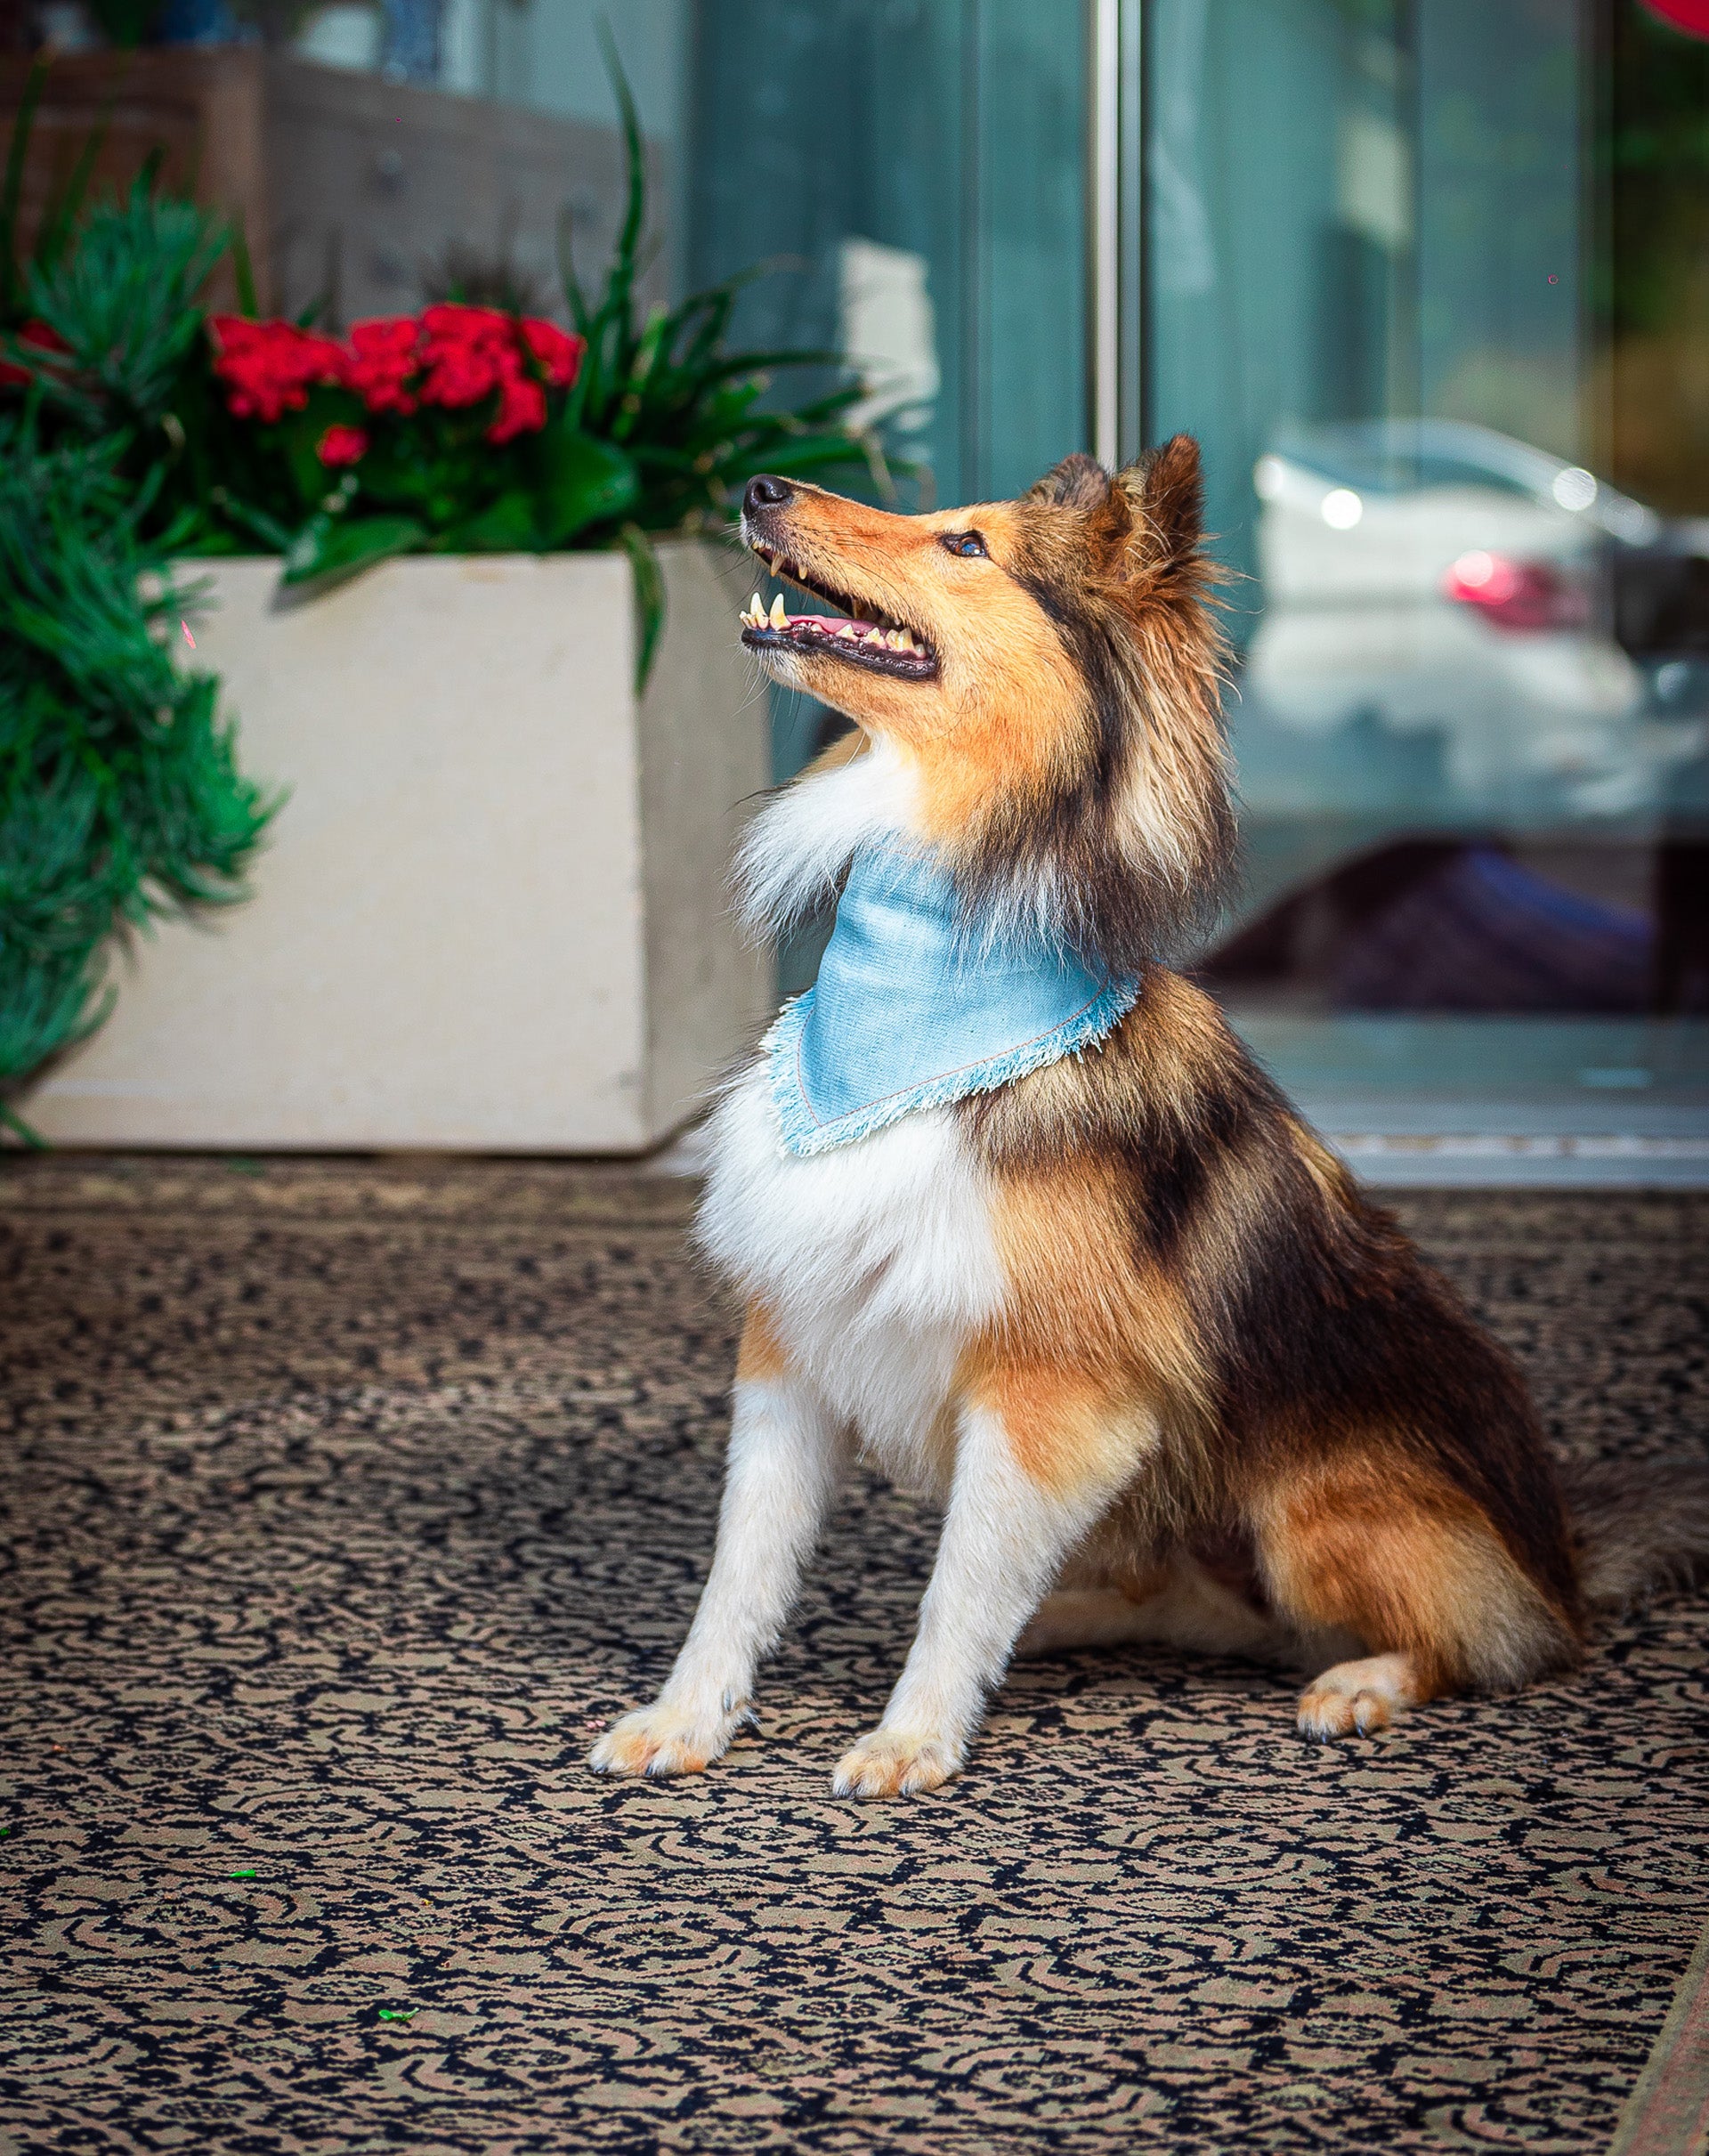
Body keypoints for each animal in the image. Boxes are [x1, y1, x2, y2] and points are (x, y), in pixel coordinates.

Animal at [586, 442, 1689, 1802]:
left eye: (965, 546)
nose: (760, 488)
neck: (920, 997)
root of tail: (1564, 1554)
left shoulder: (1050, 1393)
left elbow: (959, 1585)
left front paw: (911, 1737)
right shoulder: (792, 1340)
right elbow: (739, 1569)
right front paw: (685, 1719)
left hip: (1313, 1509)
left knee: (1480, 1640)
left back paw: (1361, 1682)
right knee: (1187, 1607)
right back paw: (1061, 1619)